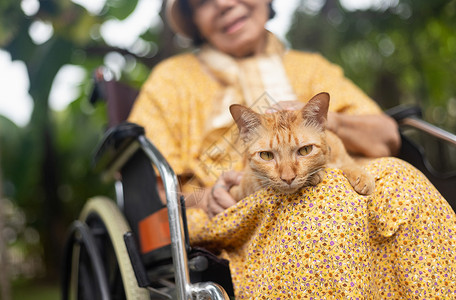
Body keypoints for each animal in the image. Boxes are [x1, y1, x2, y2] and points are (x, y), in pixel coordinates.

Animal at [228, 92, 374, 202]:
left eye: (305, 150)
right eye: (267, 155)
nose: (288, 178)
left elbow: (349, 164)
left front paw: (362, 176)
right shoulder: (239, 189)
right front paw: (316, 175)